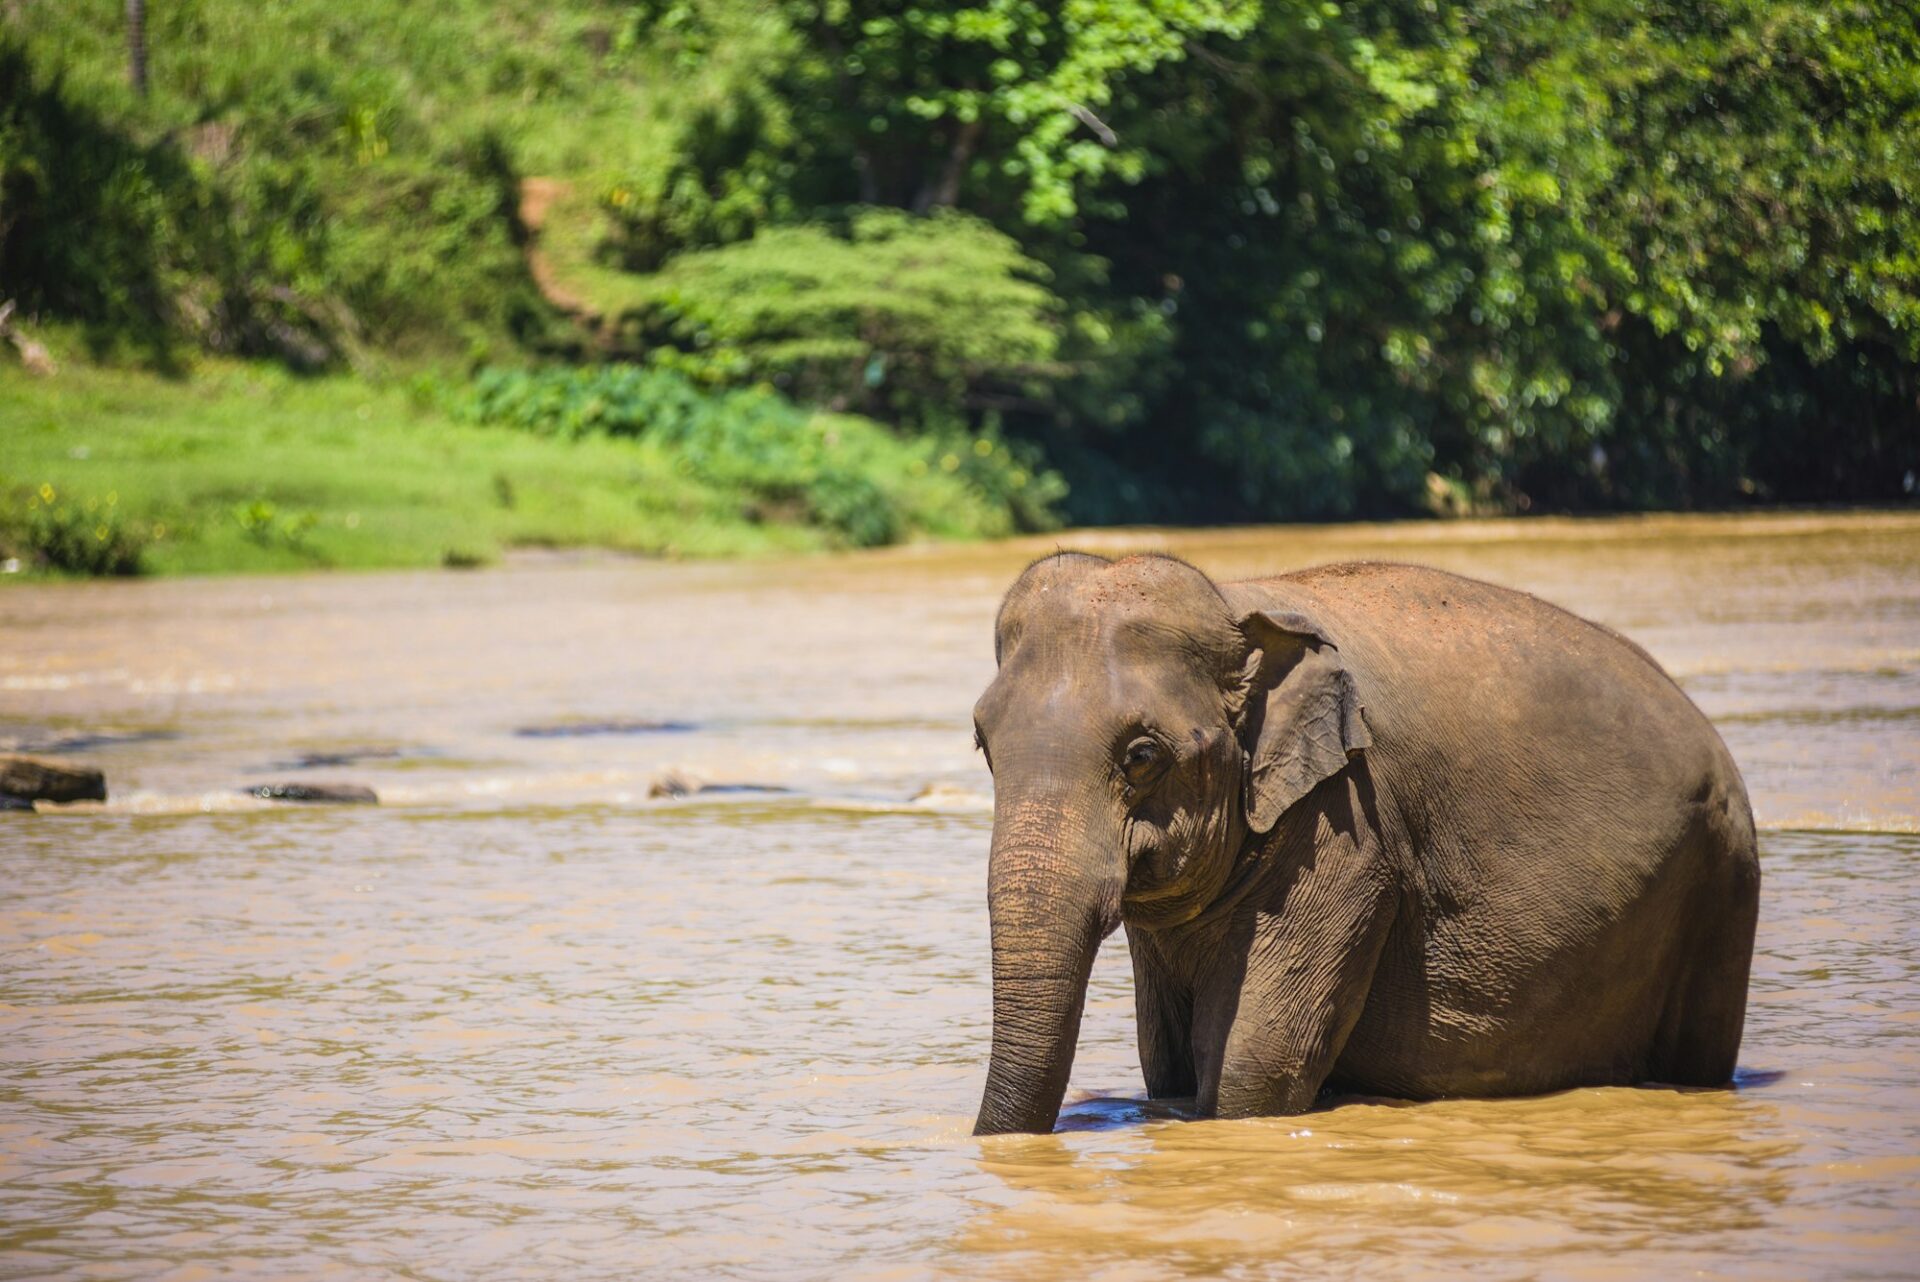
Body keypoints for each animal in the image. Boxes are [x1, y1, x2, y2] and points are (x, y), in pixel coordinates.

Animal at [975, 556, 1758, 1136]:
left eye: (1142, 756)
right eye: (983, 741)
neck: (1239, 602)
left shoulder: (1348, 826)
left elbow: (1251, 1070)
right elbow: (1170, 1068)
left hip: (1721, 882)